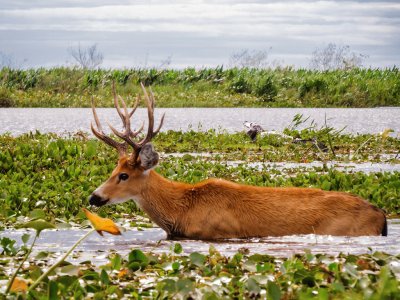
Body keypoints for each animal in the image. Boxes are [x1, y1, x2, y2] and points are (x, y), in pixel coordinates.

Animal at [88, 83, 388, 240]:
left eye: (124, 175)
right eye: (113, 169)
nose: (94, 197)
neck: (182, 209)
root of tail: (381, 215)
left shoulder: (216, 231)